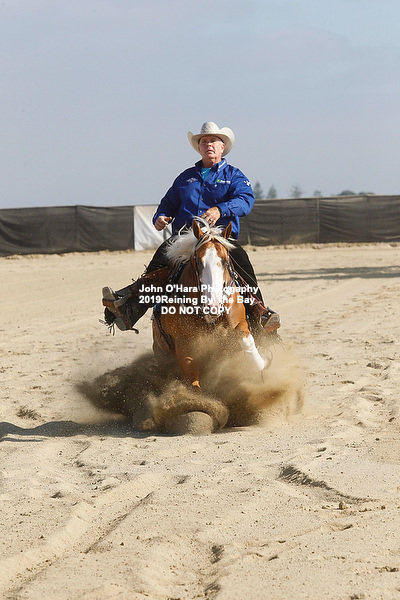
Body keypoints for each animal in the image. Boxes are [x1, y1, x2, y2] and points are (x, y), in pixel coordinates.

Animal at [152, 218, 267, 393]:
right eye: (198, 261)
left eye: (226, 260)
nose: (214, 305)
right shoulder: (183, 342)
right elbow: (192, 378)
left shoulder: (238, 320)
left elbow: (245, 339)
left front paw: (260, 365)